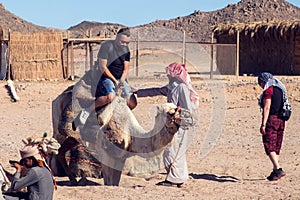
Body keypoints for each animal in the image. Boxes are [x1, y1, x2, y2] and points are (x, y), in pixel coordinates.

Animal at [50, 70, 193, 186]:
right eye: (172, 112)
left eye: (178, 108)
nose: (190, 118)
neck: (131, 133)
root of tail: (58, 98)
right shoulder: (105, 153)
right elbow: (109, 182)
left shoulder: (121, 156)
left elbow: (115, 182)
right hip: (60, 131)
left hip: (72, 138)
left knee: (61, 151)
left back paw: (73, 180)